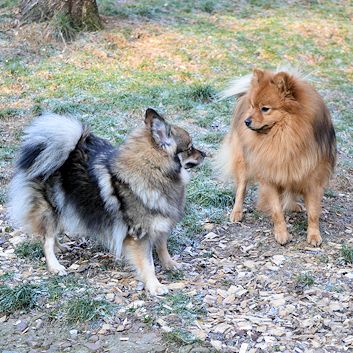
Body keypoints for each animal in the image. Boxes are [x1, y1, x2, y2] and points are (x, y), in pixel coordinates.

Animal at [217, 68, 336, 245]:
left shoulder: (312, 179)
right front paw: (281, 233)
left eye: (265, 108)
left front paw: (314, 235)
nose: (246, 121)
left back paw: (293, 205)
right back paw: (237, 212)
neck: (284, 138)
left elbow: (314, 213)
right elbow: (276, 210)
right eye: (253, 106)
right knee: (241, 188)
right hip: (244, 162)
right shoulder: (269, 176)